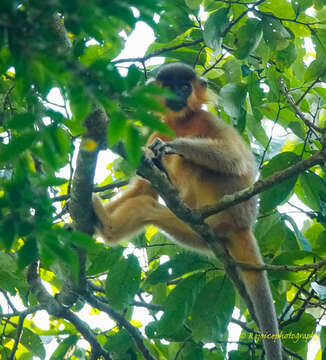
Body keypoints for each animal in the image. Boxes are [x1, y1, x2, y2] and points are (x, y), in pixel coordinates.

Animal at [92, 62, 282, 360]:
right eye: (169, 87)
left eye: (184, 87)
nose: (177, 95)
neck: (181, 121)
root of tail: (244, 224)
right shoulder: (154, 128)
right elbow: (144, 189)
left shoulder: (209, 120)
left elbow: (237, 160)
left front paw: (172, 146)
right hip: (194, 235)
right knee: (147, 206)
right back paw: (106, 225)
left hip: (225, 205)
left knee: (196, 164)